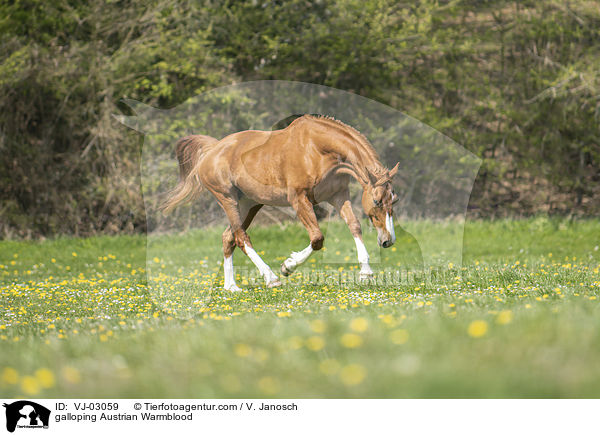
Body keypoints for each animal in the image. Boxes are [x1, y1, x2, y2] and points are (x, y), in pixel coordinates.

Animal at [163, 115, 398, 292]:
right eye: (376, 200)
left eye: (393, 200)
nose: (388, 241)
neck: (317, 149)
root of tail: (212, 150)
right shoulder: (299, 200)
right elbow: (317, 238)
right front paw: (288, 266)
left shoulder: (339, 195)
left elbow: (354, 226)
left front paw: (366, 272)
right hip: (227, 199)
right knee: (241, 237)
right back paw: (271, 278)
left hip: (249, 204)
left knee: (228, 237)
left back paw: (231, 287)